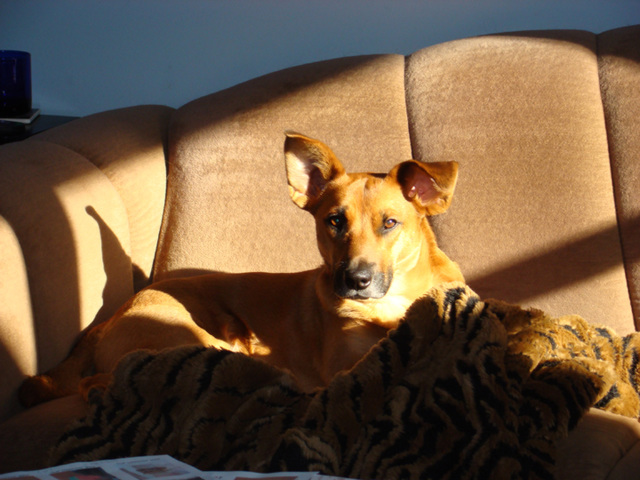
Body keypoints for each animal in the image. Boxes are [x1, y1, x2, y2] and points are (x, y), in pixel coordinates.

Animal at [18, 131, 460, 404]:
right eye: (334, 221)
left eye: (390, 223)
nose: (355, 280)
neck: (392, 304)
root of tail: (110, 319)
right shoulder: (344, 367)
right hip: (190, 337)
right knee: (108, 379)